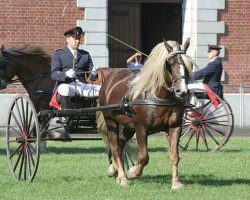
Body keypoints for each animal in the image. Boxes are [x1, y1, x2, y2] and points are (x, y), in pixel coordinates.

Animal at [98, 39, 190, 190]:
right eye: (170, 63)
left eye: (187, 64)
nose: (182, 90)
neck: (158, 96)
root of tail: (111, 77)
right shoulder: (141, 128)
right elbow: (144, 156)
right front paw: (133, 172)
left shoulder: (175, 127)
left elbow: (174, 155)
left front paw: (176, 182)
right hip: (111, 121)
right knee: (115, 147)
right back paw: (122, 178)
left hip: (129, 126)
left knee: (120, 143)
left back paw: (114, 170)